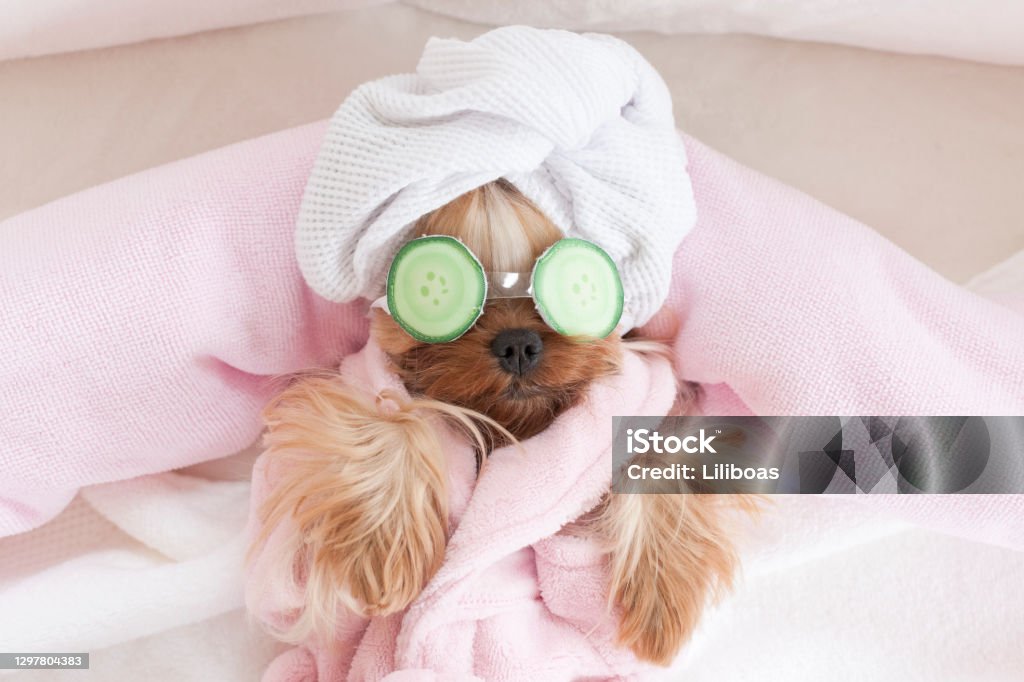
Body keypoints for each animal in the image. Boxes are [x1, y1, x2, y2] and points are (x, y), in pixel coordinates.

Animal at [251, 179, 741, 663]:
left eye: (574, 289)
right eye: (437, 288)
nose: (517, 344)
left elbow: (661, 451)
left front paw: (661, 588)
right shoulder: (354, 375)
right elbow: (381, 415)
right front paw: (382, 547)